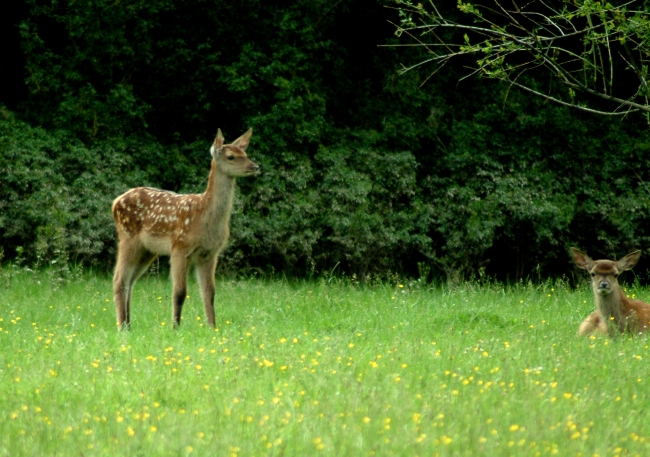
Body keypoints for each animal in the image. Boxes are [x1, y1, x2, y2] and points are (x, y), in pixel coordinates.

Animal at [112, 128, 256, 328]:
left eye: (246, 154)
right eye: (231, 156)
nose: (255, 166)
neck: (204, 217)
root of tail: (115, 202)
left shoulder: (210, 253)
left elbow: (209, 293)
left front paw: (212, 327)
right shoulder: (180, 247)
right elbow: (179, 292)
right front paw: (175, 327)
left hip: (148, 250)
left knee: (131, 281)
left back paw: (128, 324)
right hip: (128, 237)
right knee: (119, 280)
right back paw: (122, 327)